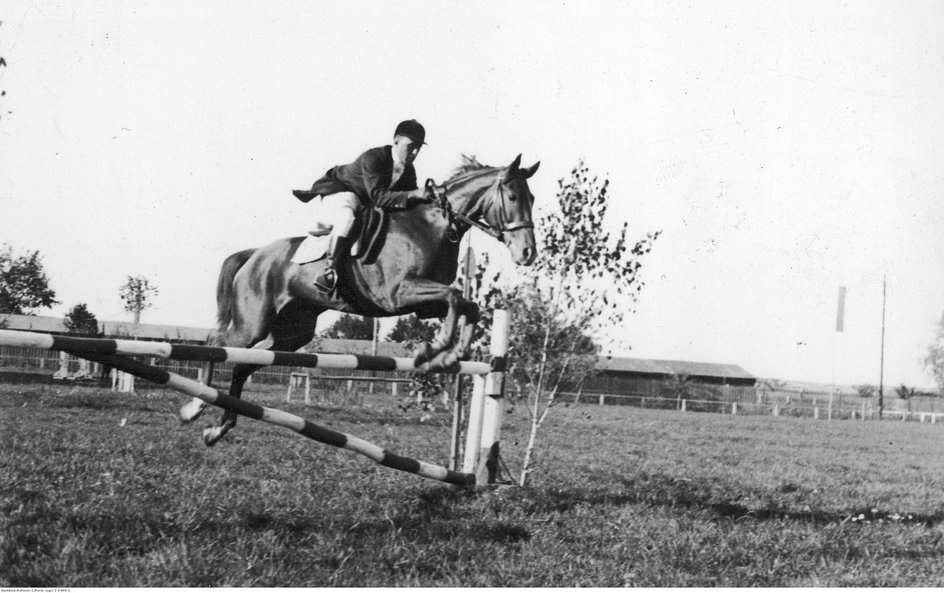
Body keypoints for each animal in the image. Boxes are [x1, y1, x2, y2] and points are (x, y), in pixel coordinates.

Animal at [181, 153, 544, 444]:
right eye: (513, 196)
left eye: (532, 197)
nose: (527, 253)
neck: (431, 226)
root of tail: (256, 254)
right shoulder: (398, 294)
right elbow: (457, 297)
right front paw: (432, 351)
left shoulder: (426, 304)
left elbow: (469, 306)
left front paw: (450, 355)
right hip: (253, 322)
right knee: (217, 342)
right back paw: (194, 407)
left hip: (293, 332)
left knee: (244, 364)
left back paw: (219, 428)